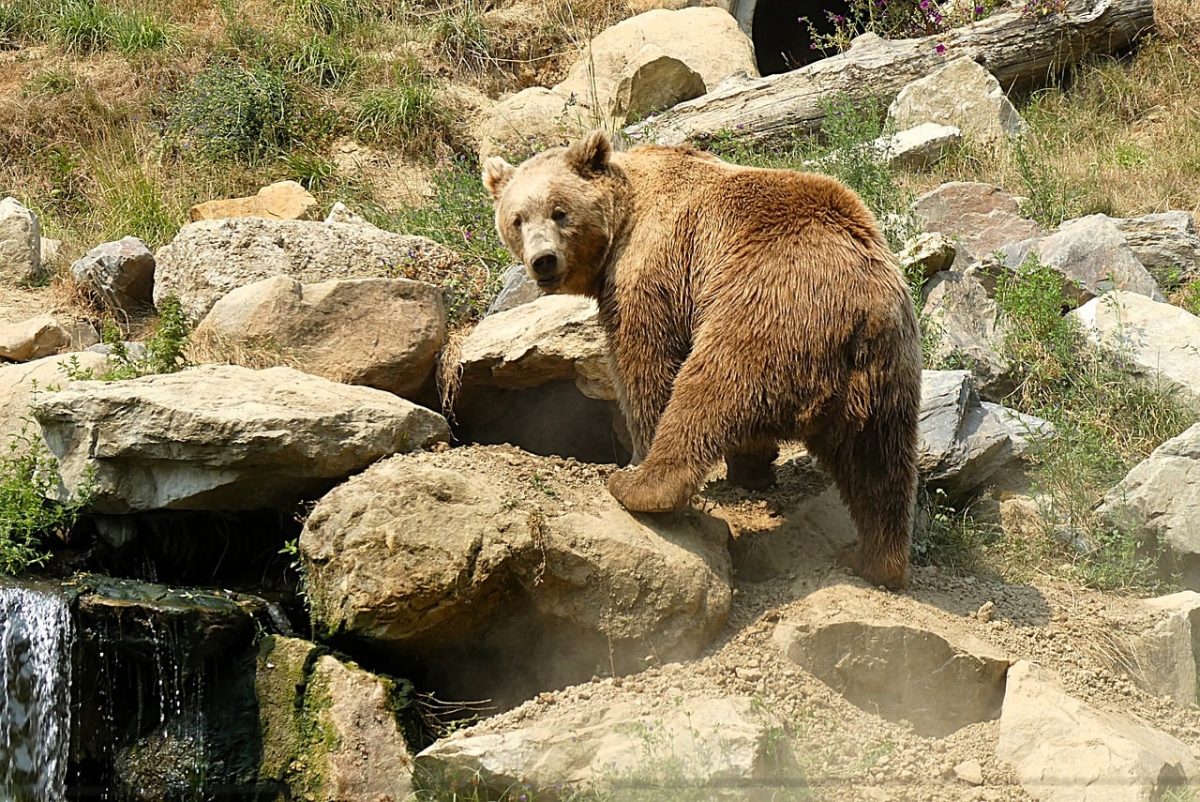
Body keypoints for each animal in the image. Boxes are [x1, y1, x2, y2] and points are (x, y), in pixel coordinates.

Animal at [482, 130, 922, 589]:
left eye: (559, 211)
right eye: (517, 219)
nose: (543, 261)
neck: (622, 220)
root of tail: (860, 306)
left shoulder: (653, 269)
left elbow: (645, 363)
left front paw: (638, 455)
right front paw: (754, 464)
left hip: (763, 311)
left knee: (707, 394)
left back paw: (641, 488)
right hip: (887, 372)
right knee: (879, 466)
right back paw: (878, 559)